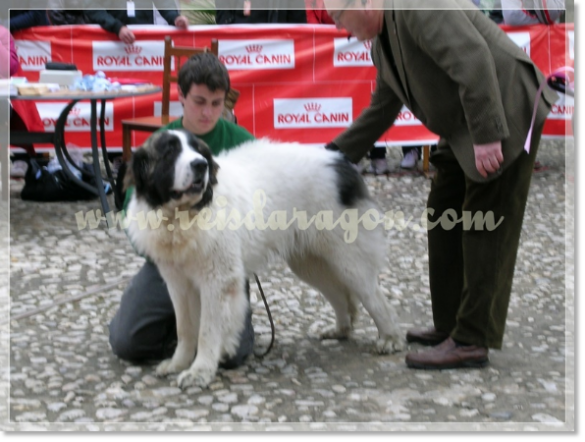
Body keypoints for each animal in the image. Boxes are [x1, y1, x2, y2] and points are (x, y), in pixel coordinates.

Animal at [125, 129, 404, 388]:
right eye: (169, 152)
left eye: (198, 151)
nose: (200, 165)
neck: (182, 217)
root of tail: (339, 161)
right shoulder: (178, 283)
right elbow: (184, 327)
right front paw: (178, 363)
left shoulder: (217, 280)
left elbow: (207, 329)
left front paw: (200, 371)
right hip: (310, 263)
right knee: (340, 295)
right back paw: (340, 329)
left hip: (347, 259)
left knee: (374, 297)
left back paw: (390, 338)